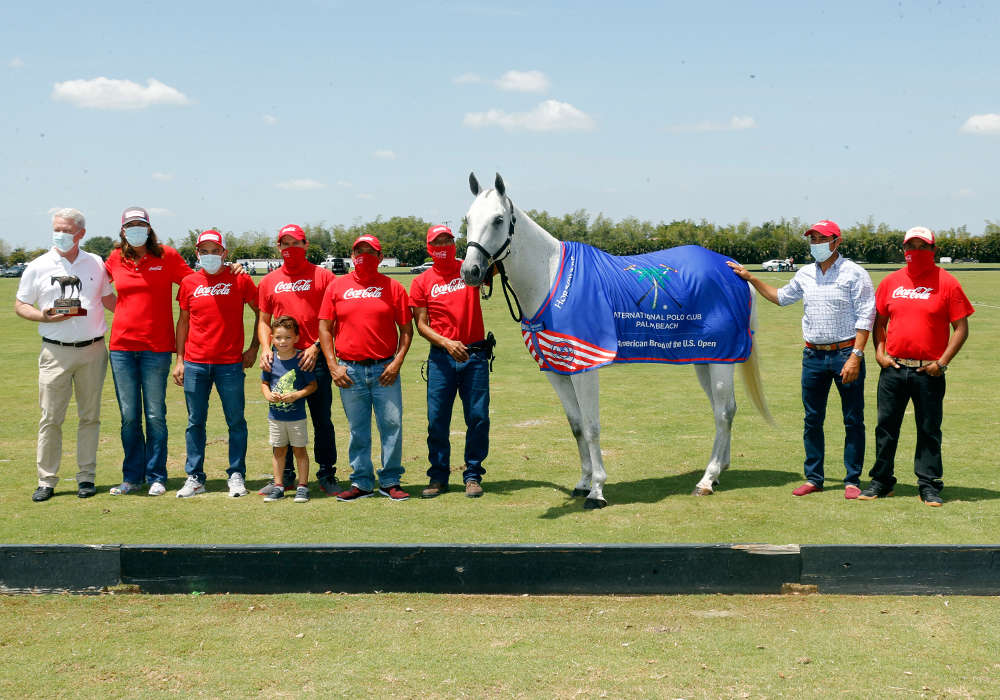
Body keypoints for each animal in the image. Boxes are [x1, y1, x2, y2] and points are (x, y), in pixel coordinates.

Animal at [460, 174, 772, 508]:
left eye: (498, 219)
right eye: (468, 219)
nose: (470, 271)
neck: (551, 280)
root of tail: (734, 269)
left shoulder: (585, 368)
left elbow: (592, 427)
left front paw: (597, 490)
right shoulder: (557, 372)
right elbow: (576, 426)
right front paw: (583, 482)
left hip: (720, 359)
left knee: (724, 412)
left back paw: (707, 479)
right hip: (706, 359)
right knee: (722, 409)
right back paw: (719, 470)